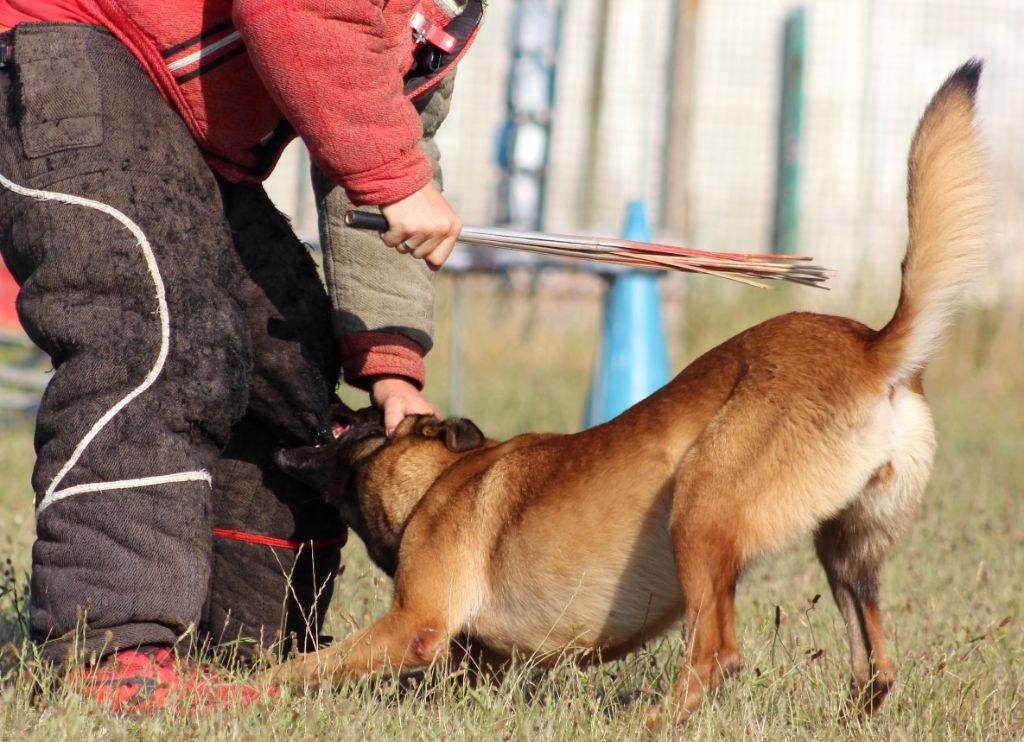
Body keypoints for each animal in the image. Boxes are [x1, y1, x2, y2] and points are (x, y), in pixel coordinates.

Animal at [272, 63, 991, 724]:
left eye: (365, 420)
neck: (438, 481)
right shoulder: (471, 659)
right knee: (875, 664)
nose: (327, 397)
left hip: (700, 511)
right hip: (846, 551)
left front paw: (248, 687)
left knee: (716, 654)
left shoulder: (413, 624)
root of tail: (873, 347)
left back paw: (651, 723)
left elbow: (297, 668)